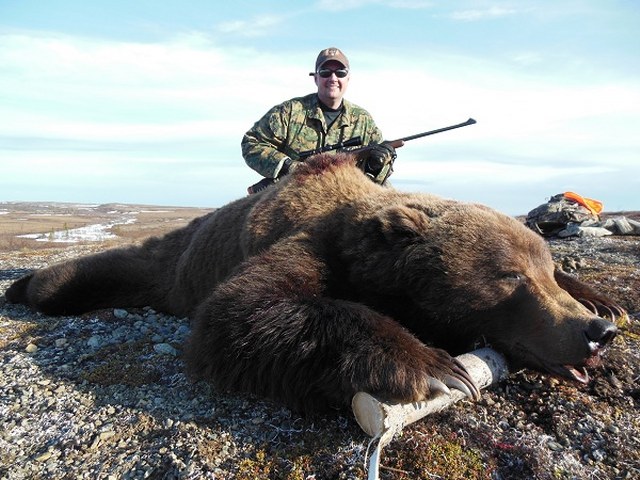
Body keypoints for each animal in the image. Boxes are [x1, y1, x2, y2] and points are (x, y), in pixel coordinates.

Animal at [5, 154, 624, 412]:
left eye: (542, 268)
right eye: (509, 277)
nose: (593, 334)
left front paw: (602, 299)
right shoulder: (310, 244)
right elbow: (241, 310)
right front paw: (429, 364)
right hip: (162, 267)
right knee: (72, 281)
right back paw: (20, 287)